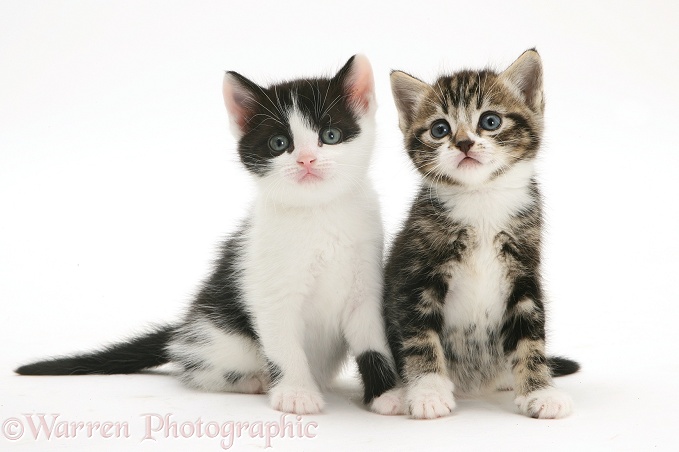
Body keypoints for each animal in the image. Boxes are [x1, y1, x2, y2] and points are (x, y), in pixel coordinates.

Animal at [14, 55, 398, 416]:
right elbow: (283, 344)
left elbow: (373, 342)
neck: (319, 213)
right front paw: (295, 394)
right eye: (279, 143)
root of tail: (183, 327)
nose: (306, 160)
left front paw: (388, 395)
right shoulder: (270, 293)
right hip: (219, 336)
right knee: (196, 365)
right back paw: (255, 381)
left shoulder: (365, 286)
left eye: (330, 136)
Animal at [378, 50, 580, 420]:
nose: (463, 142)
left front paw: (540, 391)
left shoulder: (524, 272)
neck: (481, 198)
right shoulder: (414, 275)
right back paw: (398, 394)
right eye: (439, 129)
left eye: (490, 121)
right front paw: (428, 391)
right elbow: (419, 337)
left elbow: (531, 339)